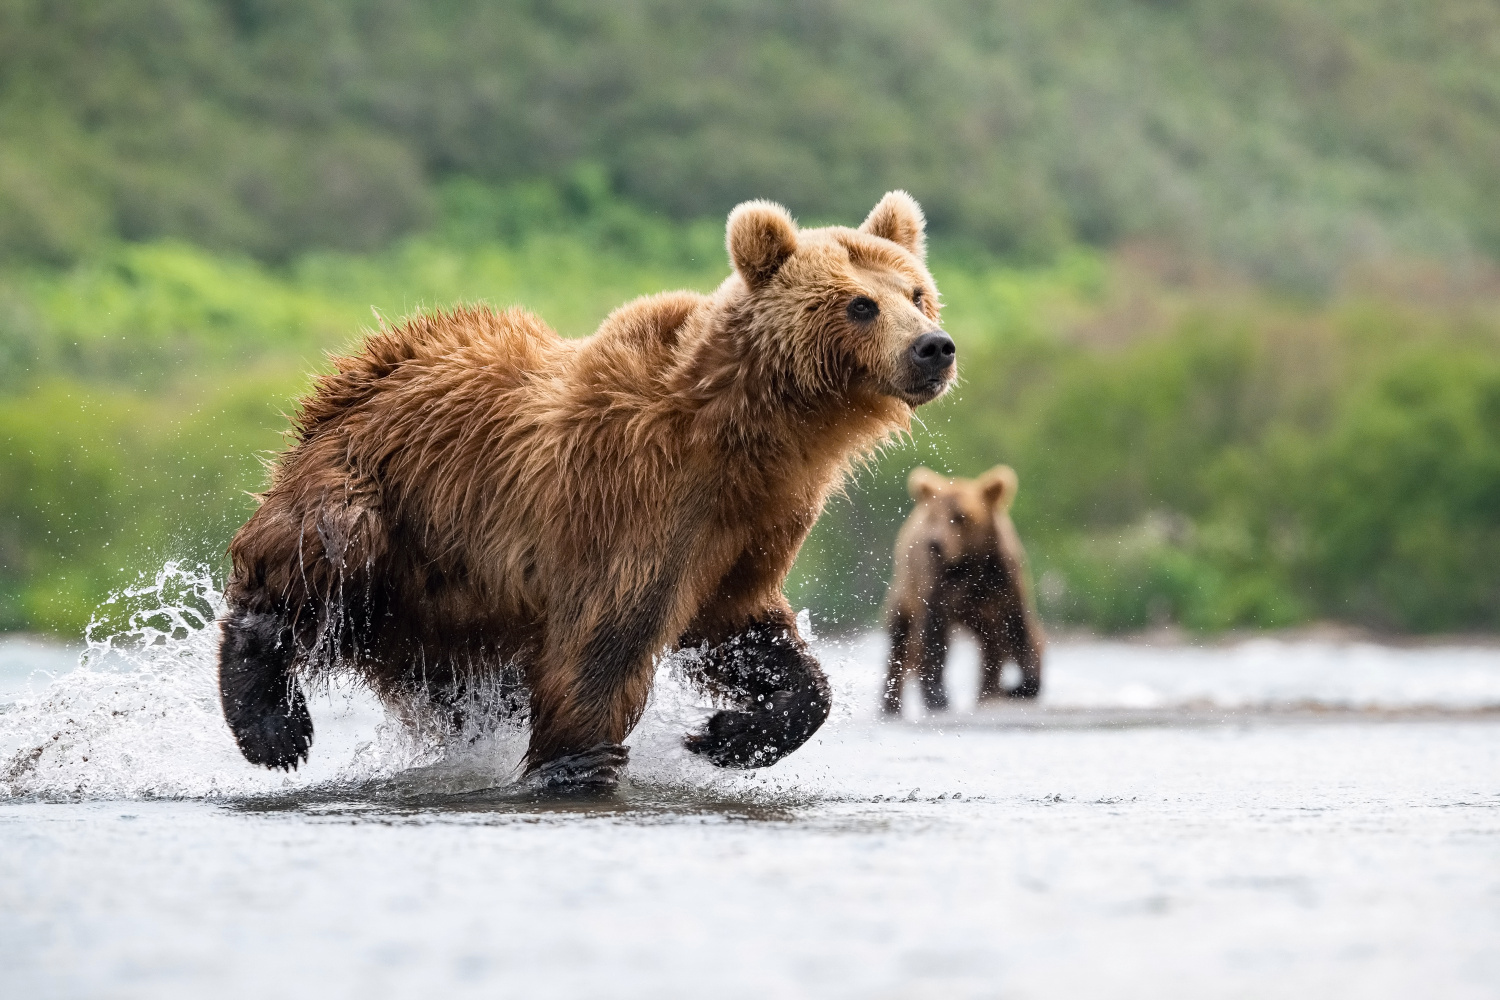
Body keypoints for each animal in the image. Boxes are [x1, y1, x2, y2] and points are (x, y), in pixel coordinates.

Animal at [217, 191, 954, 791]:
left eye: (916, 293)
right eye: (861, 304)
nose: (934, 347)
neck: (748, 434)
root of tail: (360, 368)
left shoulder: (752, 525)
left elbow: (744, 628)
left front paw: (728, 733)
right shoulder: (631, 498)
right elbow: (605, 642)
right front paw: (577, 764)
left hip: (446, 607)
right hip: (382, 490)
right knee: (321, 556)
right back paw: (273, 723)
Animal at [876, 464, 1044, 716]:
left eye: (960, 516)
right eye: (933, 516)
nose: (935, 543)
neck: (970, 563)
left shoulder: (1004, 579)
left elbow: (1018, 628)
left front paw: (1021, 686)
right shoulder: (937, 584)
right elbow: (933, 637)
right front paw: (937, 696)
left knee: (994, 644)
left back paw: (989, 691)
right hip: (906, 586)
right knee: (900, 638)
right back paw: (891, 704)